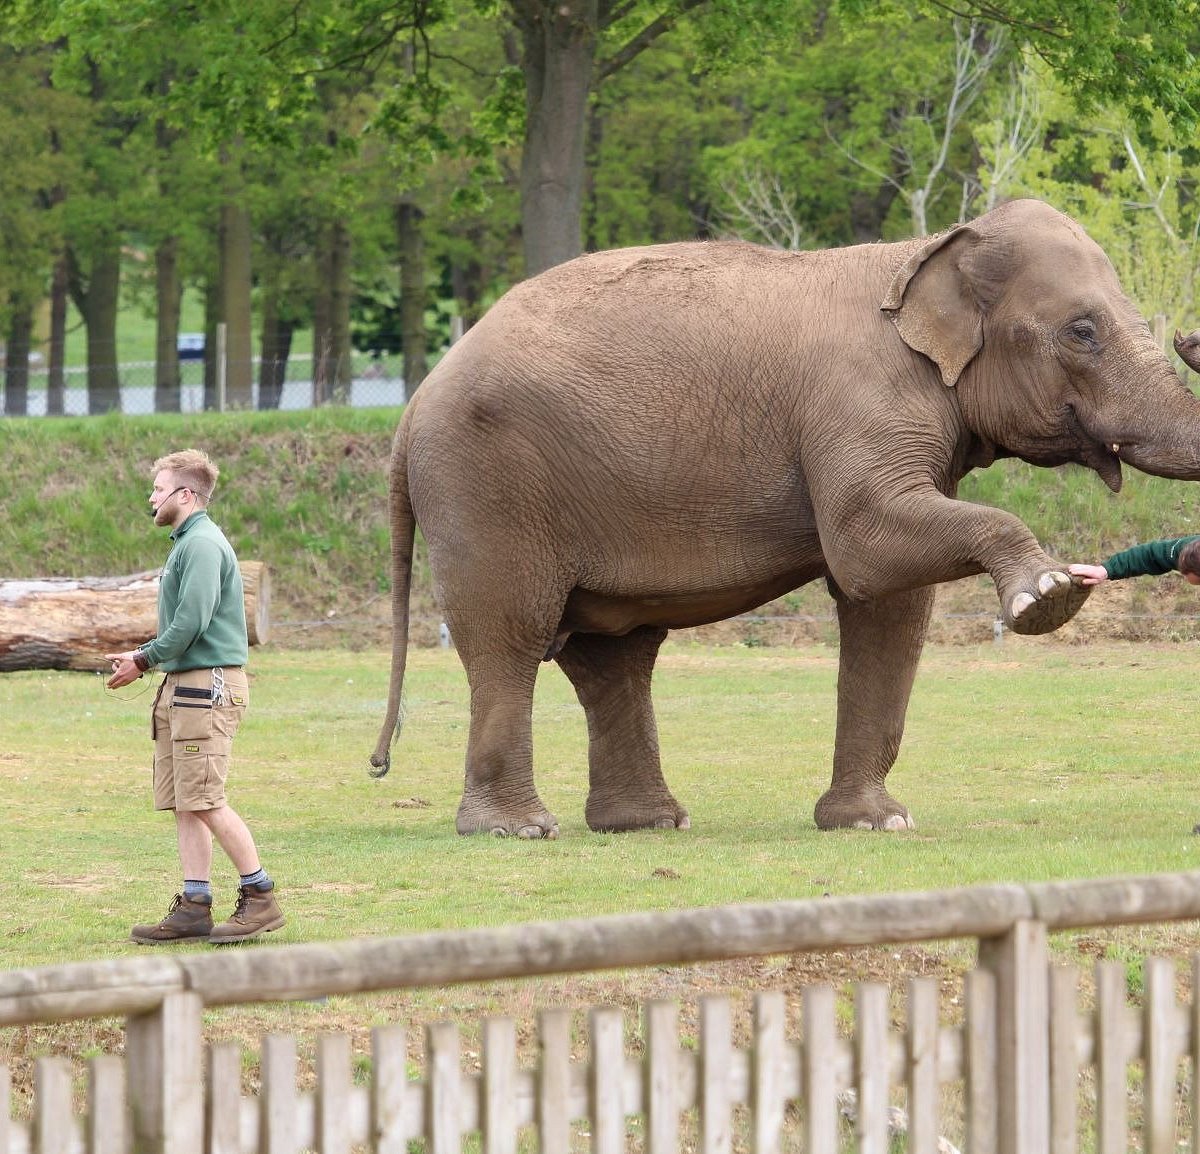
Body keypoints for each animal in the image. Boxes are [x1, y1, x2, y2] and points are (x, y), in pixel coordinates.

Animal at [370, 198, 1200, 839]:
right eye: (1082, 330)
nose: (1189, 338)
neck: (924, 251)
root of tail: (413, 406)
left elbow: (889, 603)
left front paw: (875, 823)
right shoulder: (858, 404)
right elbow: (867, 548)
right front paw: (1048, 596)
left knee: (613, 655)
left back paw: (648, 824)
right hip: (488, 487)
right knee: (510, 633)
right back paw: (519, 829)